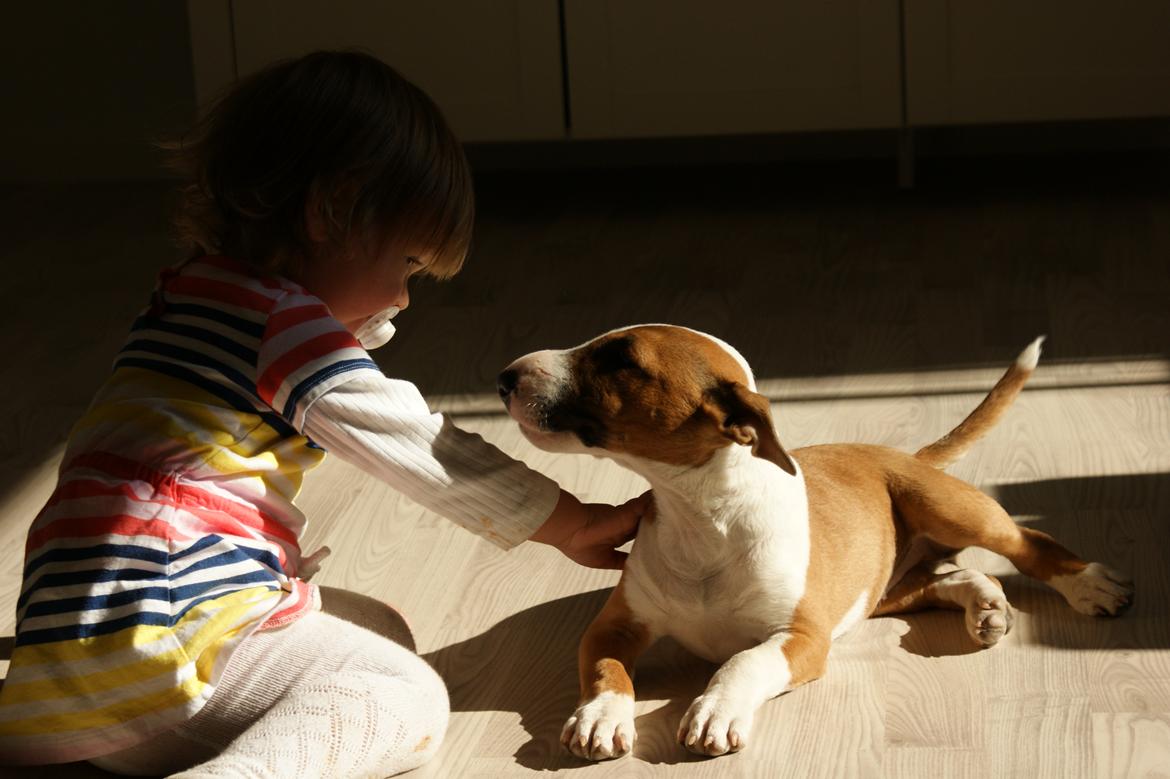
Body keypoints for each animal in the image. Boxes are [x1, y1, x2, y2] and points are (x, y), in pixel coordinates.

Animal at [496, 322, 1132, 757]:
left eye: (621, 359)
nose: (506, 377)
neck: (702, 515)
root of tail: (900, 454)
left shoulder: (802, 638)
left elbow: (743, 662)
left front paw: (715, 711)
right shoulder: (615, 625)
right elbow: (607, 668)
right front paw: (601, 717)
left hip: (946, 507)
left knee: (1026, 540)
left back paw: (1089, 586)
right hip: (876, 591)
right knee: (947, 577)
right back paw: (986, 608)